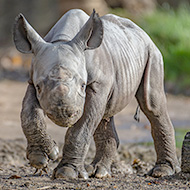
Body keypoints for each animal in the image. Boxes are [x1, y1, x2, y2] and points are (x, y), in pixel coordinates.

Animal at [13, 8, 180, 178]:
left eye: (82, 85)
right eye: (39, 87)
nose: (63, 114)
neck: (63, 39)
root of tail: (143, 31)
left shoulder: (97, 84)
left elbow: (81, 129)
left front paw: (66, 173)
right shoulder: (32, 79)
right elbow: (28, 115)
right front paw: (41, 158)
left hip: (152, 53)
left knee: (151, 104)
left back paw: (161, 171)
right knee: (104, 114)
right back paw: (98, 171)